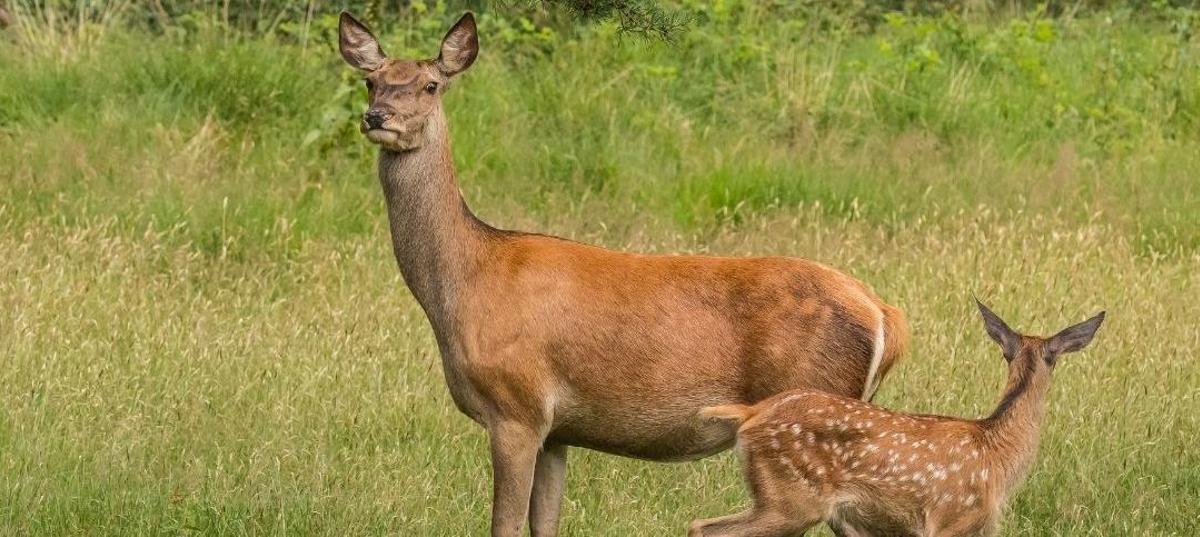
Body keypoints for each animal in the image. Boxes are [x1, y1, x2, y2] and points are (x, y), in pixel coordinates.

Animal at [338, 12, 907, 537]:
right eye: (371, 80)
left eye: (431, 84)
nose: (376, 116)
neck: (466, 281)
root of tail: (883, 314)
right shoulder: (558, 431)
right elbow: (546, 524)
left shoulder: (517, 407)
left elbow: (505, 525)